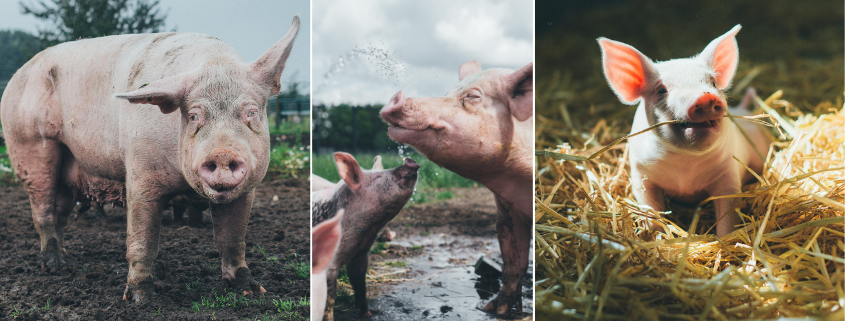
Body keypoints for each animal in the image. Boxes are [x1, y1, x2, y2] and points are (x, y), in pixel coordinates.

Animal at [0, 16, 300, 302]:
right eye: (193, 116)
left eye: (251, 112)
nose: (223, 153)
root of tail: (18, 74)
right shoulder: (140, 172)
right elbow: (142, 239)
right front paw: (140, 298)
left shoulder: (248, 189)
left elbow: (233, 238)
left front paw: (250, 291)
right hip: (30, 144)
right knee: (43, 210)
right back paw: (55, 265)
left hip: (69, 165)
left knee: (61, 212)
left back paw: (67, 259)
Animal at [310, 152, 418, 318]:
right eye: (377, 177)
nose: (410, 161)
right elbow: (329, 299)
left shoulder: (360, 255)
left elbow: (359, 284)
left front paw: (368, 313)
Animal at [380, 59, 532, 312]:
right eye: (447, 94)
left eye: (472, 96)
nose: (395, 96)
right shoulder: (507, 210)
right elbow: (513, 259)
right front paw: (493, 309)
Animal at [596, 24, 768, 235]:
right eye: (661, 90)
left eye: (713, 82)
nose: (705, 97)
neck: (685, 168)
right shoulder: (641, 175)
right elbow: (650, 209)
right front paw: (654, 235)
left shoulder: (728, 173)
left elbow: (728, 213)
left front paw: (728, 237)